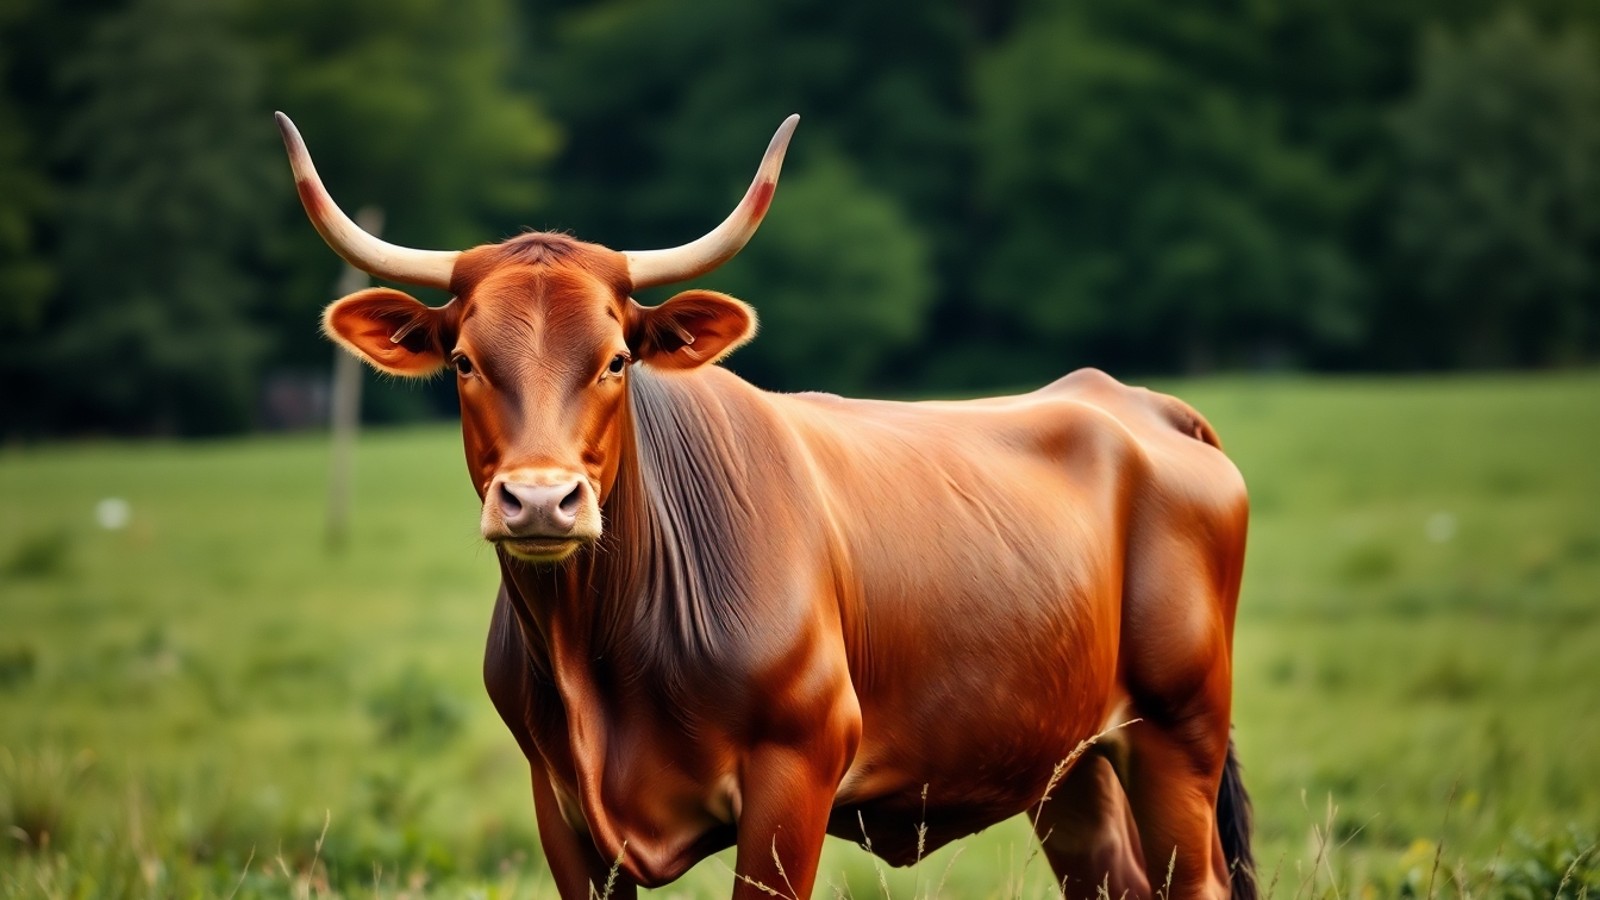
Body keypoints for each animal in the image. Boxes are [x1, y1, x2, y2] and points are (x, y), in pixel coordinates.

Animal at [277, 111, 1256, 900]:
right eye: (465, 362)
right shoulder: (560, 806)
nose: (543, 501)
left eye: (616, 359)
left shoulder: (795, 777)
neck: (597, 657)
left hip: (1179, 735)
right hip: (1071, 765)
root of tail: (1135, 401)